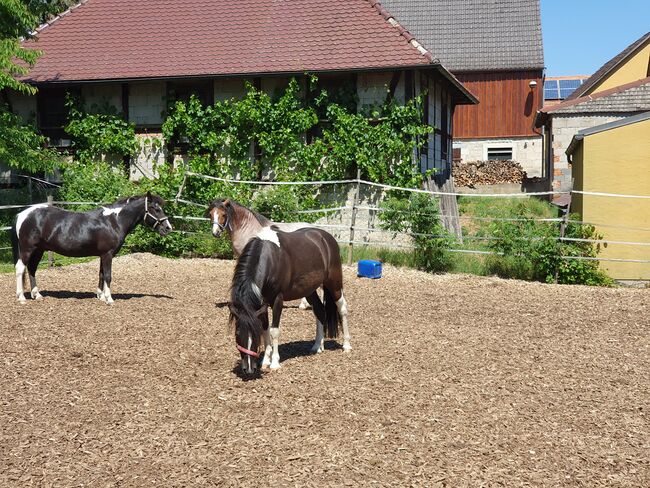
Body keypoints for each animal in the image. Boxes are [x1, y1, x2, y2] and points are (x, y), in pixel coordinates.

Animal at [12, 193, 172, 304]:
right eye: (156, 209)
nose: (168, 228)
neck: (114, 221)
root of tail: (22, 214)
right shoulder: (108, 254)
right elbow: (108, 275)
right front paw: (109, 299)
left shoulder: (103, 255)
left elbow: (101, 274)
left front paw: (100, 296)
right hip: (27, 249)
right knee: (20, 268)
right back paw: (21, 297)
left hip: (39, 250)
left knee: (32, 269)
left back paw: (37, 295)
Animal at [228, 227, 350, 376]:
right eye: (237, 333)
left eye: (255, 334)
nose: (249, 369)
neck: (270, 257)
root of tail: (326, 237)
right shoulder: (261, 304)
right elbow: (265, 329)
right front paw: (265, 361)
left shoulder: (277, 300)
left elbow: (274, 331)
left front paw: (274, 363)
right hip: (309, 290)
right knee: (320, 311)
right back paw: (318, 346)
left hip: (334, 284)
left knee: (342, 309)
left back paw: (346, 345)